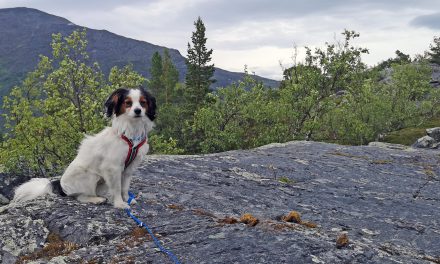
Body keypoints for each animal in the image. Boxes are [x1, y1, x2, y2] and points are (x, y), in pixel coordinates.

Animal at [9, 87, 157, 209]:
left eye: (143, 103)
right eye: (128, 103)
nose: (138, 111)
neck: (131, 135)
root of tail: (61, 186)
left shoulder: (128, 168)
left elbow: (124, 187)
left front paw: (127, 199)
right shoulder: (112, 168)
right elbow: (116, 188)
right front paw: (120, 204)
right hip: (90, 175)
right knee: (80, 196)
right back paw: (96, 199)